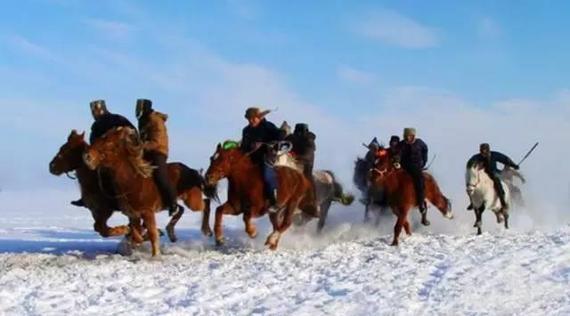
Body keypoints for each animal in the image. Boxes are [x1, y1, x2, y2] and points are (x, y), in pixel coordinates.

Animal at [83, 127, 216, 256]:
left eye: (109, 143)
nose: (87, 157)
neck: (133, 182)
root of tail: (190, 170)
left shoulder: (147, 213)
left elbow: (152, 234)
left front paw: (155, 255)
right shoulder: (133, 215)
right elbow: (137, 235)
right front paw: (129, 232)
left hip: (192, 201)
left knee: (206, 203)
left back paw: (207, 231)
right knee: (181, 208)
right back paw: (171, 233)